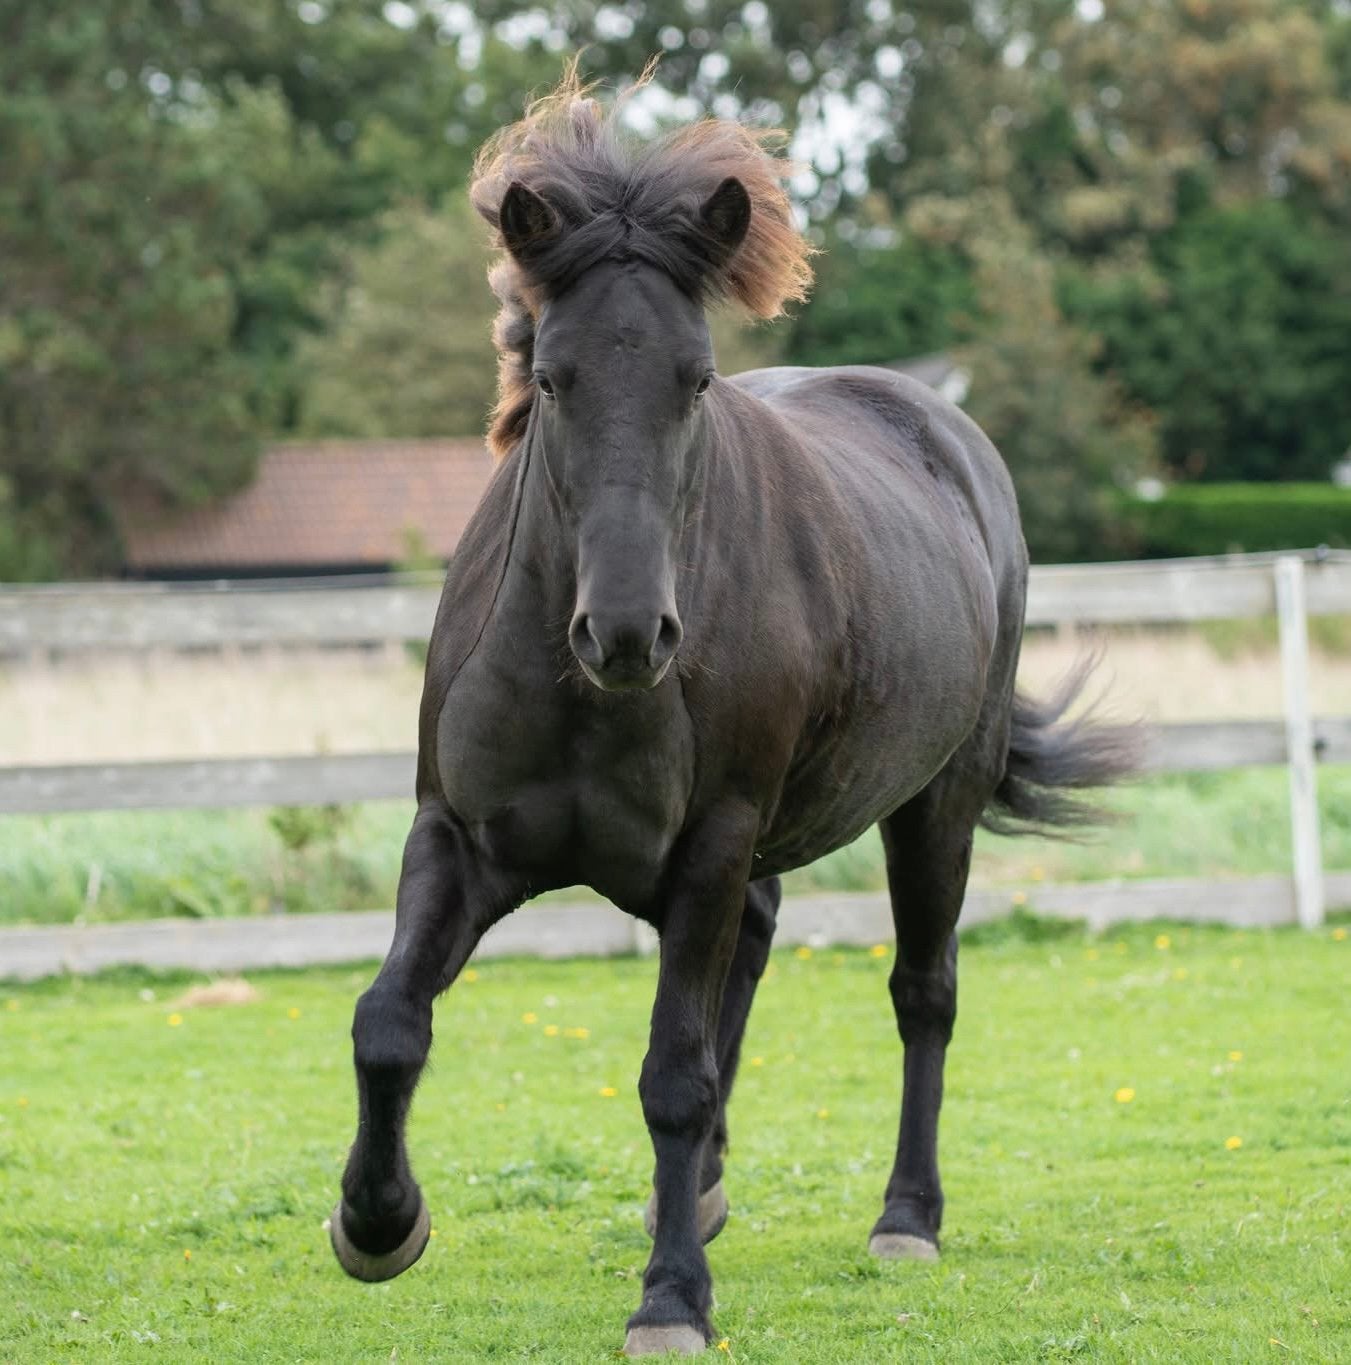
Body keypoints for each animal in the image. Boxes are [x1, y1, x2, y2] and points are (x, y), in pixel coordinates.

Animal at [327, 71, 1136, 1356]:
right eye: (550, 377)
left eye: (694, 379)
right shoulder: (458, 839)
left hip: (933, 809)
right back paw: (703, 1193)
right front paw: (377, 1222)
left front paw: (669, 1299)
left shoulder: (708, 846)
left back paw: (904, 1218)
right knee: (748, 963)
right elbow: (388, 1021)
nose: (626, 635)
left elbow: (674, 1072)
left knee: (922, 994)